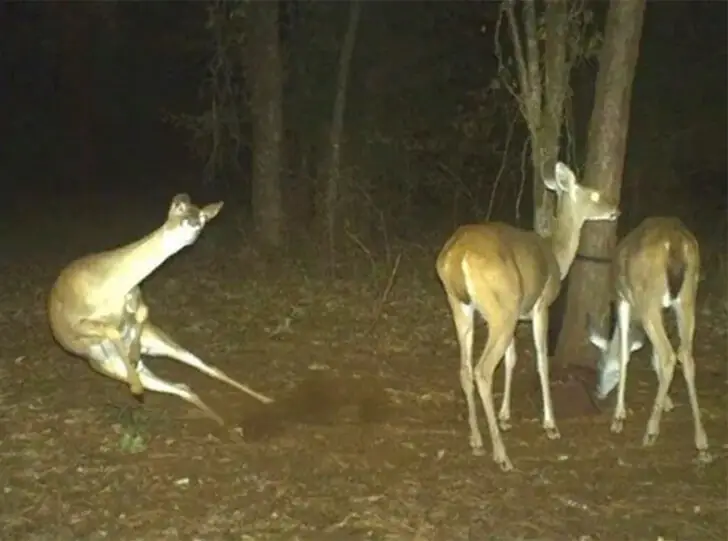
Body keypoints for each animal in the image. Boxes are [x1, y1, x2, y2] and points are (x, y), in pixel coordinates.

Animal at [48, 193, 274, 426]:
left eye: (203, 216)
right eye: (179, 209)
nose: (194, 222)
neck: (111, 286)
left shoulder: (135, 299)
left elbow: (142, 312)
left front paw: (134, 351)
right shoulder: (76, 324)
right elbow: (111, 329)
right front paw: (135, 382)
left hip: (157, 339)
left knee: (203, 372)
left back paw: (262, 402)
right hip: (112, 366)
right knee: (182, 387)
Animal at [436, 162, 619, 471]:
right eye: (594, 194)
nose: (616, 210)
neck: (557, 255)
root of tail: (458, 257)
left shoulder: (520, 312)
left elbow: (512, 360)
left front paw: (505, 416)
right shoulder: (540, 306)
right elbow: (541, 361)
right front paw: (550, 424)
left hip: (462, 306)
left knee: (465, 368)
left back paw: (476, 441)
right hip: (500, 309)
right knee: (482, 370)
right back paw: (501, 455)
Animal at [586, 216, 711, 463]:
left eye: (600, 365)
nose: (598, 392)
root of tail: (675, 243)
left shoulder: (623, 299)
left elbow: (625, 353)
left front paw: (619, 417)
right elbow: (653, 355)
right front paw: (667, 403)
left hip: (648, 299)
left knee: (669, 355)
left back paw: (651, 432)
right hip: (687, 296)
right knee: (685, 355)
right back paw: (701, 442)